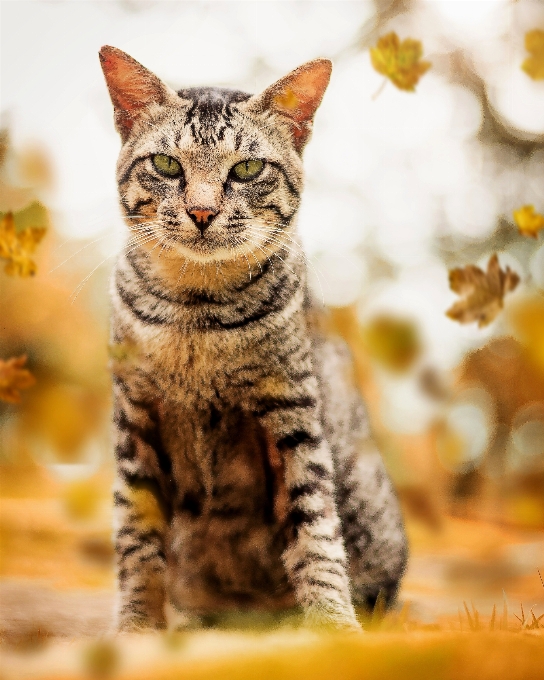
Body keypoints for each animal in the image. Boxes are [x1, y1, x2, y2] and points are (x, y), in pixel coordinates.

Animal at [100, 46, 408, 632]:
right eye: (167, 165)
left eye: (246, 169)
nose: (201, 211)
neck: (196, 314)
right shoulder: (135, 415)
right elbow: (136, 536)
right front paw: (137, 627)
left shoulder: (291, 412)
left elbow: (314, 527)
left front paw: (333, 625)